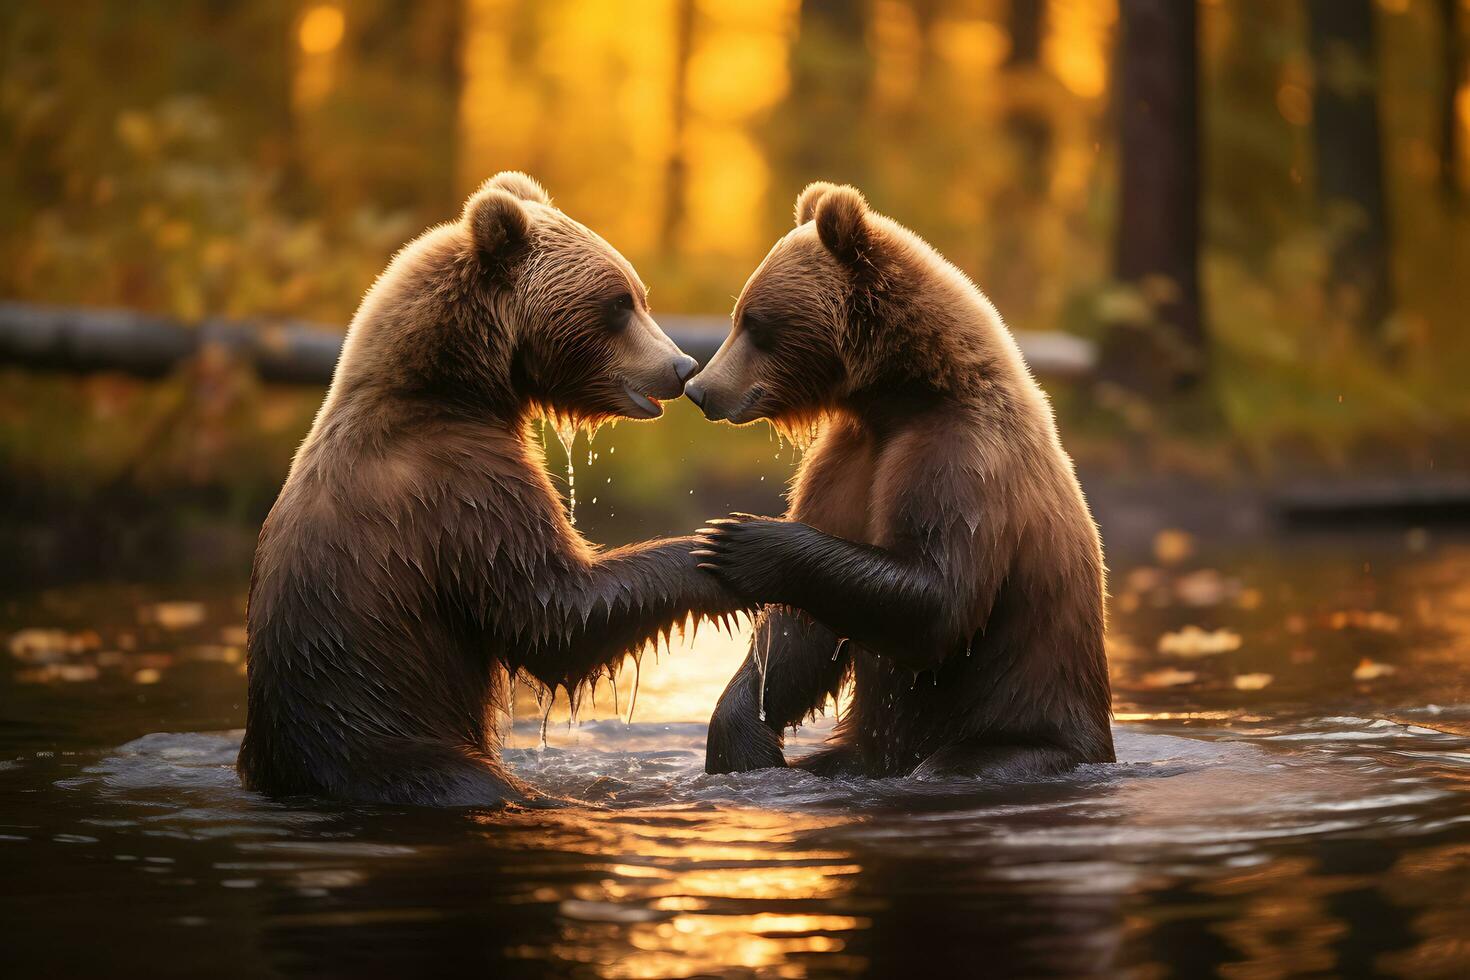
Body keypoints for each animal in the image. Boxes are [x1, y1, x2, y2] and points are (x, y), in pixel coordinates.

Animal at [242, 172, 746, 811]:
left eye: (639, 295)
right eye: (618, 303)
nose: (681, 365)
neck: (454, 388)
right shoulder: (460, 489)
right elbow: (556, 612)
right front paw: (717, 555)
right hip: (384, 736)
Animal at [687, 182, 1111, 781]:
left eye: (755, 322)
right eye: (738, 315)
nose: (702, 389)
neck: (900, 396)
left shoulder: (961, 458)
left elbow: (936, 595)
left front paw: (737, 539)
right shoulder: (849, 460)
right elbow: (804, 632)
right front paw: (742, 736)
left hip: (1029, 720)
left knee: (963, 760)